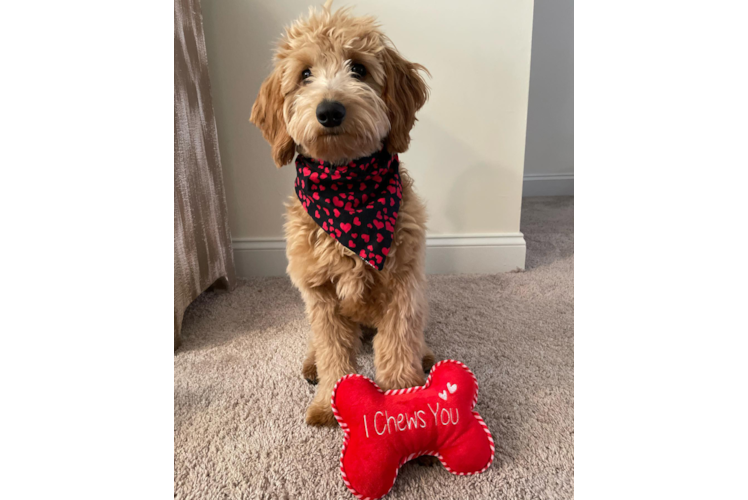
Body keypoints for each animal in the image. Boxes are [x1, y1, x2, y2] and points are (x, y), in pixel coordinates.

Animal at [250, 0, 432, 426]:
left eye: (359, 69)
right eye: (305, 74)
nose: (330, 111)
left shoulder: (403, 287)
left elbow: (399, 344)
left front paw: (403, 397)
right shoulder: (321, 296)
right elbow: (333, 351)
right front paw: (329, 402)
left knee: (417, 332)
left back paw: (426, 356)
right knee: (317, 343)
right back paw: (312, 364)